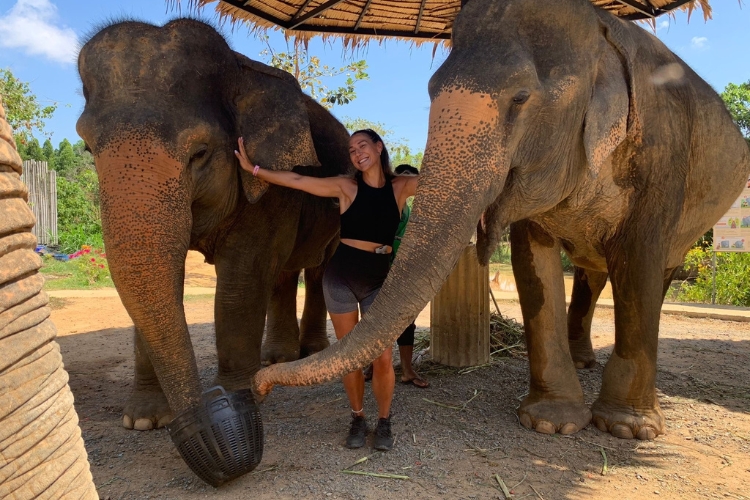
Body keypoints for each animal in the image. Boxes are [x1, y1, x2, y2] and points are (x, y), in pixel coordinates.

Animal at [75, 20, 352, 430]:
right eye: (88, 150)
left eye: (200, 153)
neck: (238, 67)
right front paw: (144, 421)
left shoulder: (268, 187)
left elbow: (241, 281)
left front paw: (241, 398)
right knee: (284, 273)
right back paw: (277, 358)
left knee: (317, 269)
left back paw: (309, 351)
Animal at [256, 0, 750, 442]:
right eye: (430, 89)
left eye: (520, 98)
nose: (260, 386)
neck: (598, 30)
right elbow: (533, 267)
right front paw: (552, 423)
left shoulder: (663, 155)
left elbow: (639, 266)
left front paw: (628, 429)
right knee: (590, 272)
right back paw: (582, 361)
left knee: (654, 273)